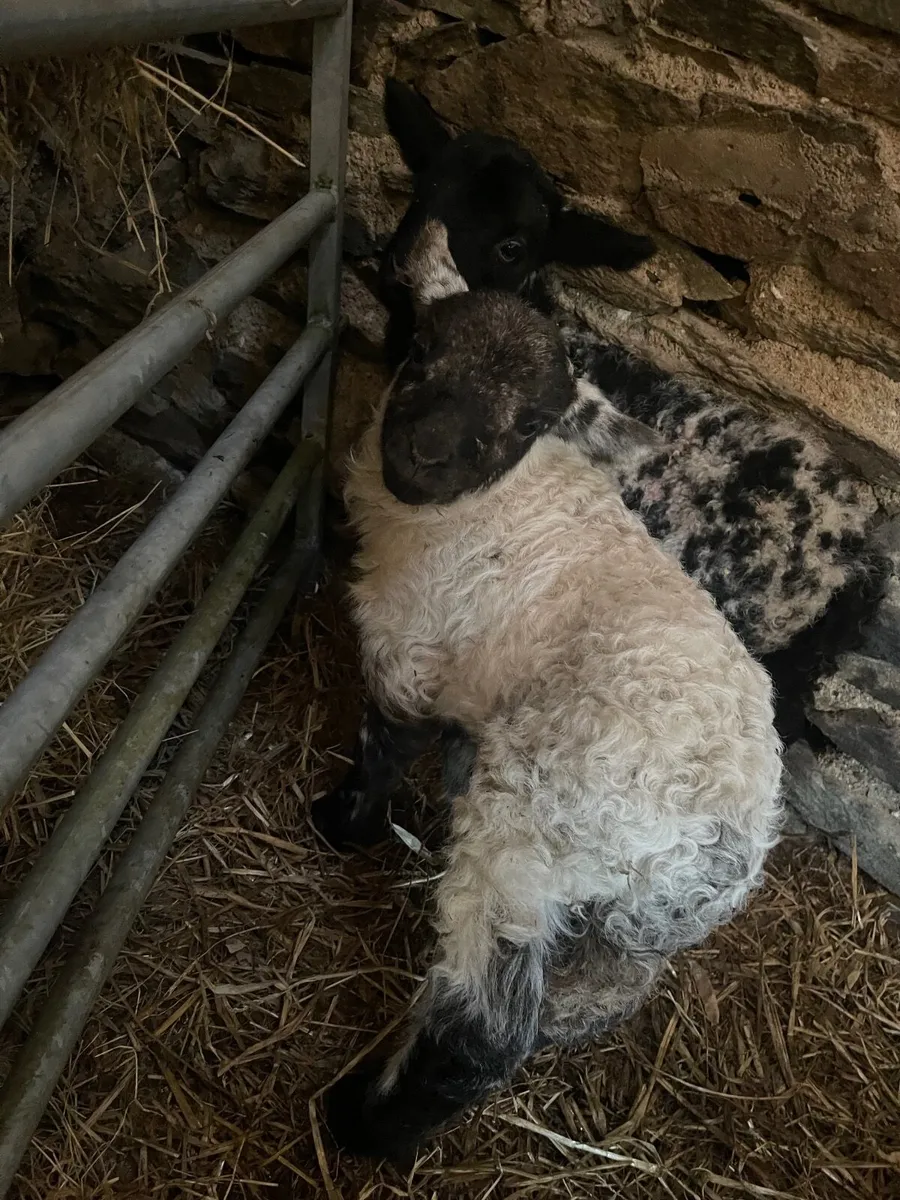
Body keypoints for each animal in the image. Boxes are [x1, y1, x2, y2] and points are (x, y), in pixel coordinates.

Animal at [314, 221, 783, 1162]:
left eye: (533, 421)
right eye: (423, 347)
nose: (426, 456)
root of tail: (728, 849)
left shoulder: (408, 650)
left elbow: (383, 746)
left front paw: (341, 826)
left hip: (532, 834)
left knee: (483, 1035)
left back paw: (363, 1125)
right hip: (629, 923)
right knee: (599, 991)